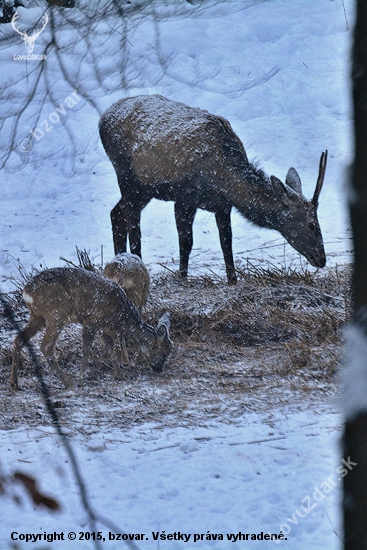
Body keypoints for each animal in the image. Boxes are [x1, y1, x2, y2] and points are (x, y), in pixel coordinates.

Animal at [10, 268, 172, 392]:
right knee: (46, 346)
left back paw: (14, 384)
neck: (121, 318)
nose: (158, 369)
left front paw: (120, 374)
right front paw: (81, 379)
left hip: (38, 316)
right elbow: (87, 349)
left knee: (19, 340)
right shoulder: (91, 322)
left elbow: (111, 348)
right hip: (56, 314)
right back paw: (68, 383)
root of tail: (27, 292)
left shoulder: (103, 329)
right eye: (164, 353)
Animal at [98, 95, 328, 284]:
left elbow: (226, 241)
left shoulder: (222, 206)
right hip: (128, 176)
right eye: (311, 224)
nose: (322, 259)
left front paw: (232, 279)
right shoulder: (184, 197)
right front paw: (182, 276)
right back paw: (136, 263)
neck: (222, 181)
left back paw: (120, 261)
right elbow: (187, 241)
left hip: (145, 188)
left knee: (116, 213)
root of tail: (103, 118)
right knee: (132, 220)